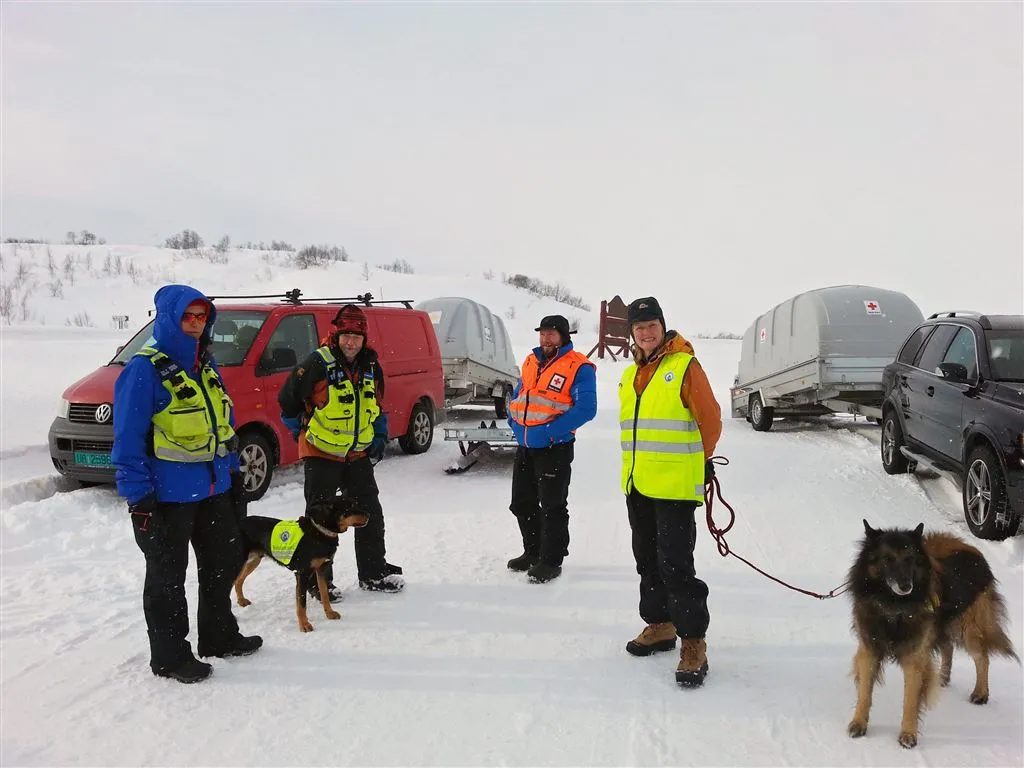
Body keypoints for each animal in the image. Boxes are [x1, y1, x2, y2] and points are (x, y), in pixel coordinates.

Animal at [233, 499, 368, 630]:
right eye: (349, 508)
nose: (369, 515)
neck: (320, 532)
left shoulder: (322, 568)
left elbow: (324, 594)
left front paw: (329, 613)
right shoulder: (302, 574)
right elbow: (301, 604)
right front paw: (304, 625)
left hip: (254, 560)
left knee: (238, 581)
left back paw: (242, 601)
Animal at [847, 520, 1015, 749]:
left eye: (910, 559)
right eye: (887, 560)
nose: (905, 586)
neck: (893, 606)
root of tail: (973, 550)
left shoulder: (915, 657)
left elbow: (910, 699)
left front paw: (908, 734)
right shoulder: (869, 648)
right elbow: (865, 691)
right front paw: (859, 722)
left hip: (968, 628)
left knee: (982, 657)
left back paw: (981, 692)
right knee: (948, 646)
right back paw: (944, 676)